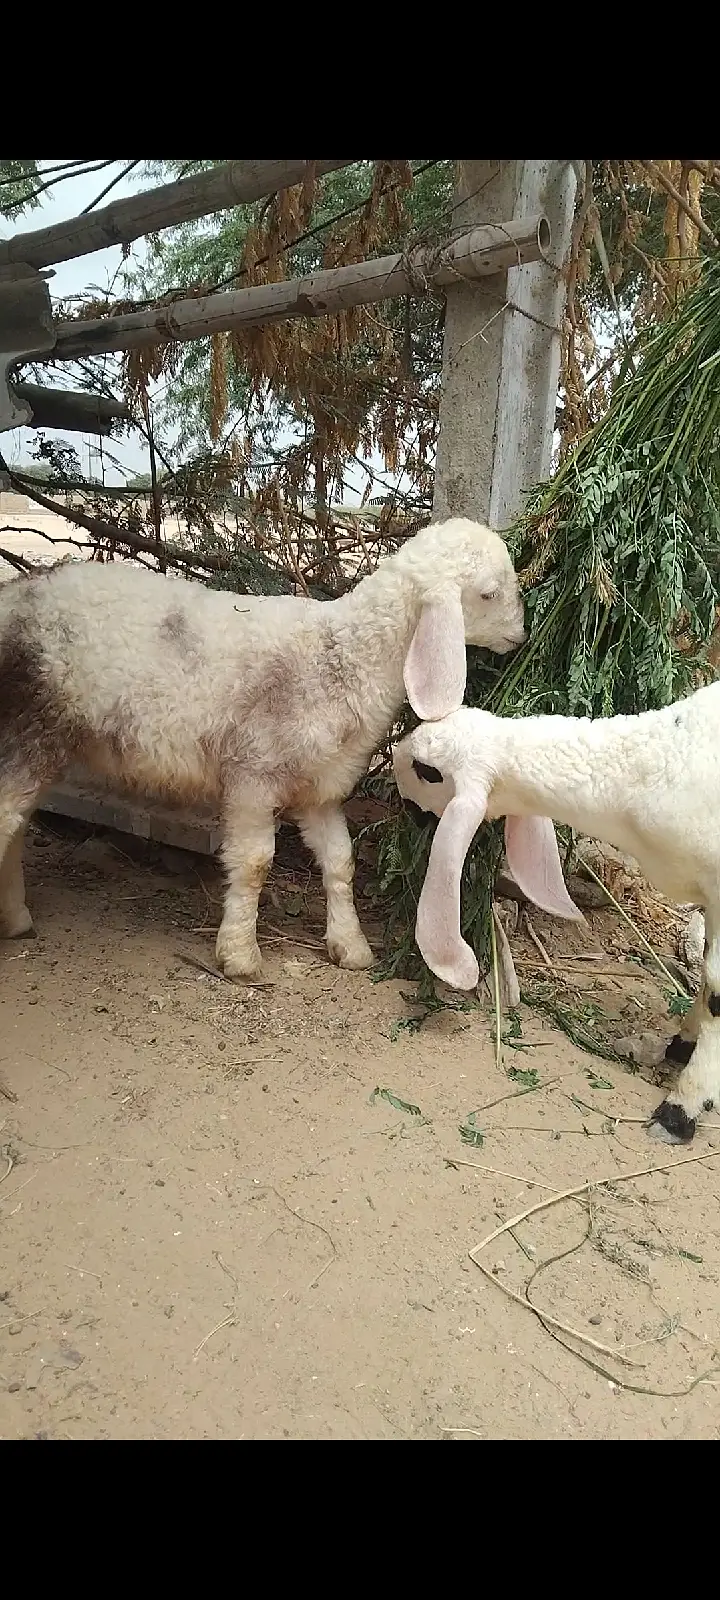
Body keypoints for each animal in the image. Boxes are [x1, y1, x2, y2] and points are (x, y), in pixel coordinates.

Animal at [0, 517, 525, 983]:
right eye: (488, 593)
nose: (519, 638)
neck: (342, 658)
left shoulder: (319, 789)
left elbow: (340, 861)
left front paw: (350, 945)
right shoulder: (253, 774)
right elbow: (254, 864)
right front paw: (239, 954)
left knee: (15, 825)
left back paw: (15, 917)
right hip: (24, 730)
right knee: (7, 820)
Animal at [392, 685, 720, 1145]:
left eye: (427, 771)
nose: (392, 765)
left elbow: (717, 990)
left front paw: (679, 1113)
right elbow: (706, 979)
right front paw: (683, 1044)